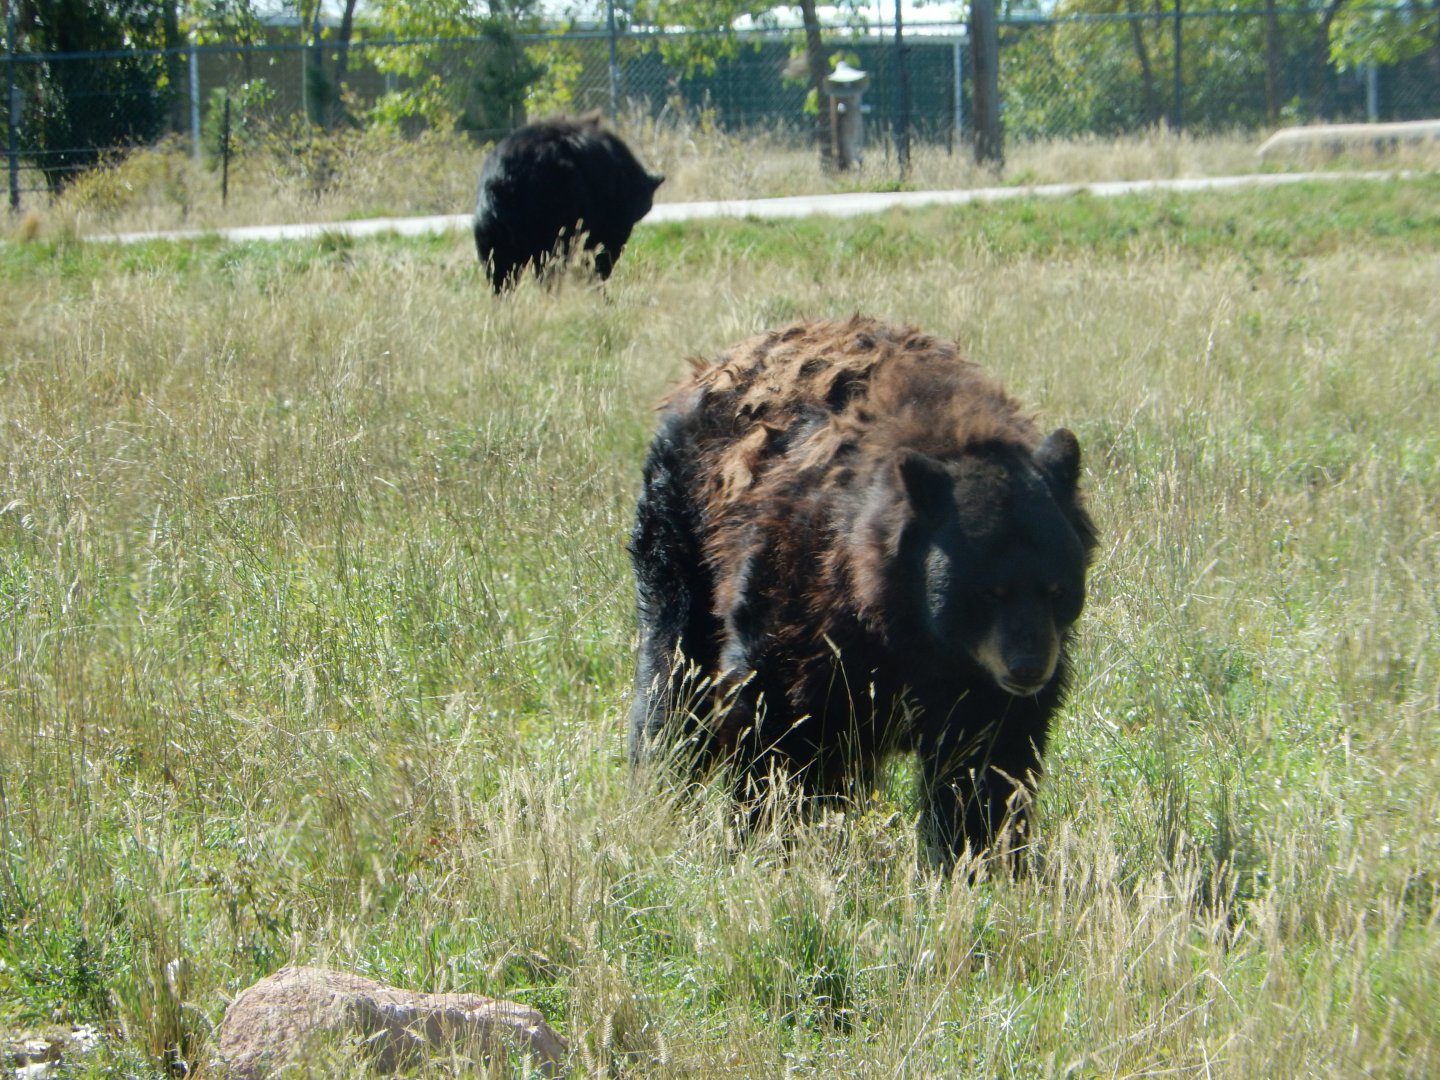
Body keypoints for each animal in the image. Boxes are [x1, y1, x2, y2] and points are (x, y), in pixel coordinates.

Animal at [627, 317, 1098, 870]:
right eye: (988, 591)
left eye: (1057, 588)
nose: (1028, 667)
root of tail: (707, 368)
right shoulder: (799, 591)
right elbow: (770, 715)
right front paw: (765, 836)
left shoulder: (978, 681)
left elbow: (989, 757)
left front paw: (983, 855)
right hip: (683, 533)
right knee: (675, 669)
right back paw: (660, 773)